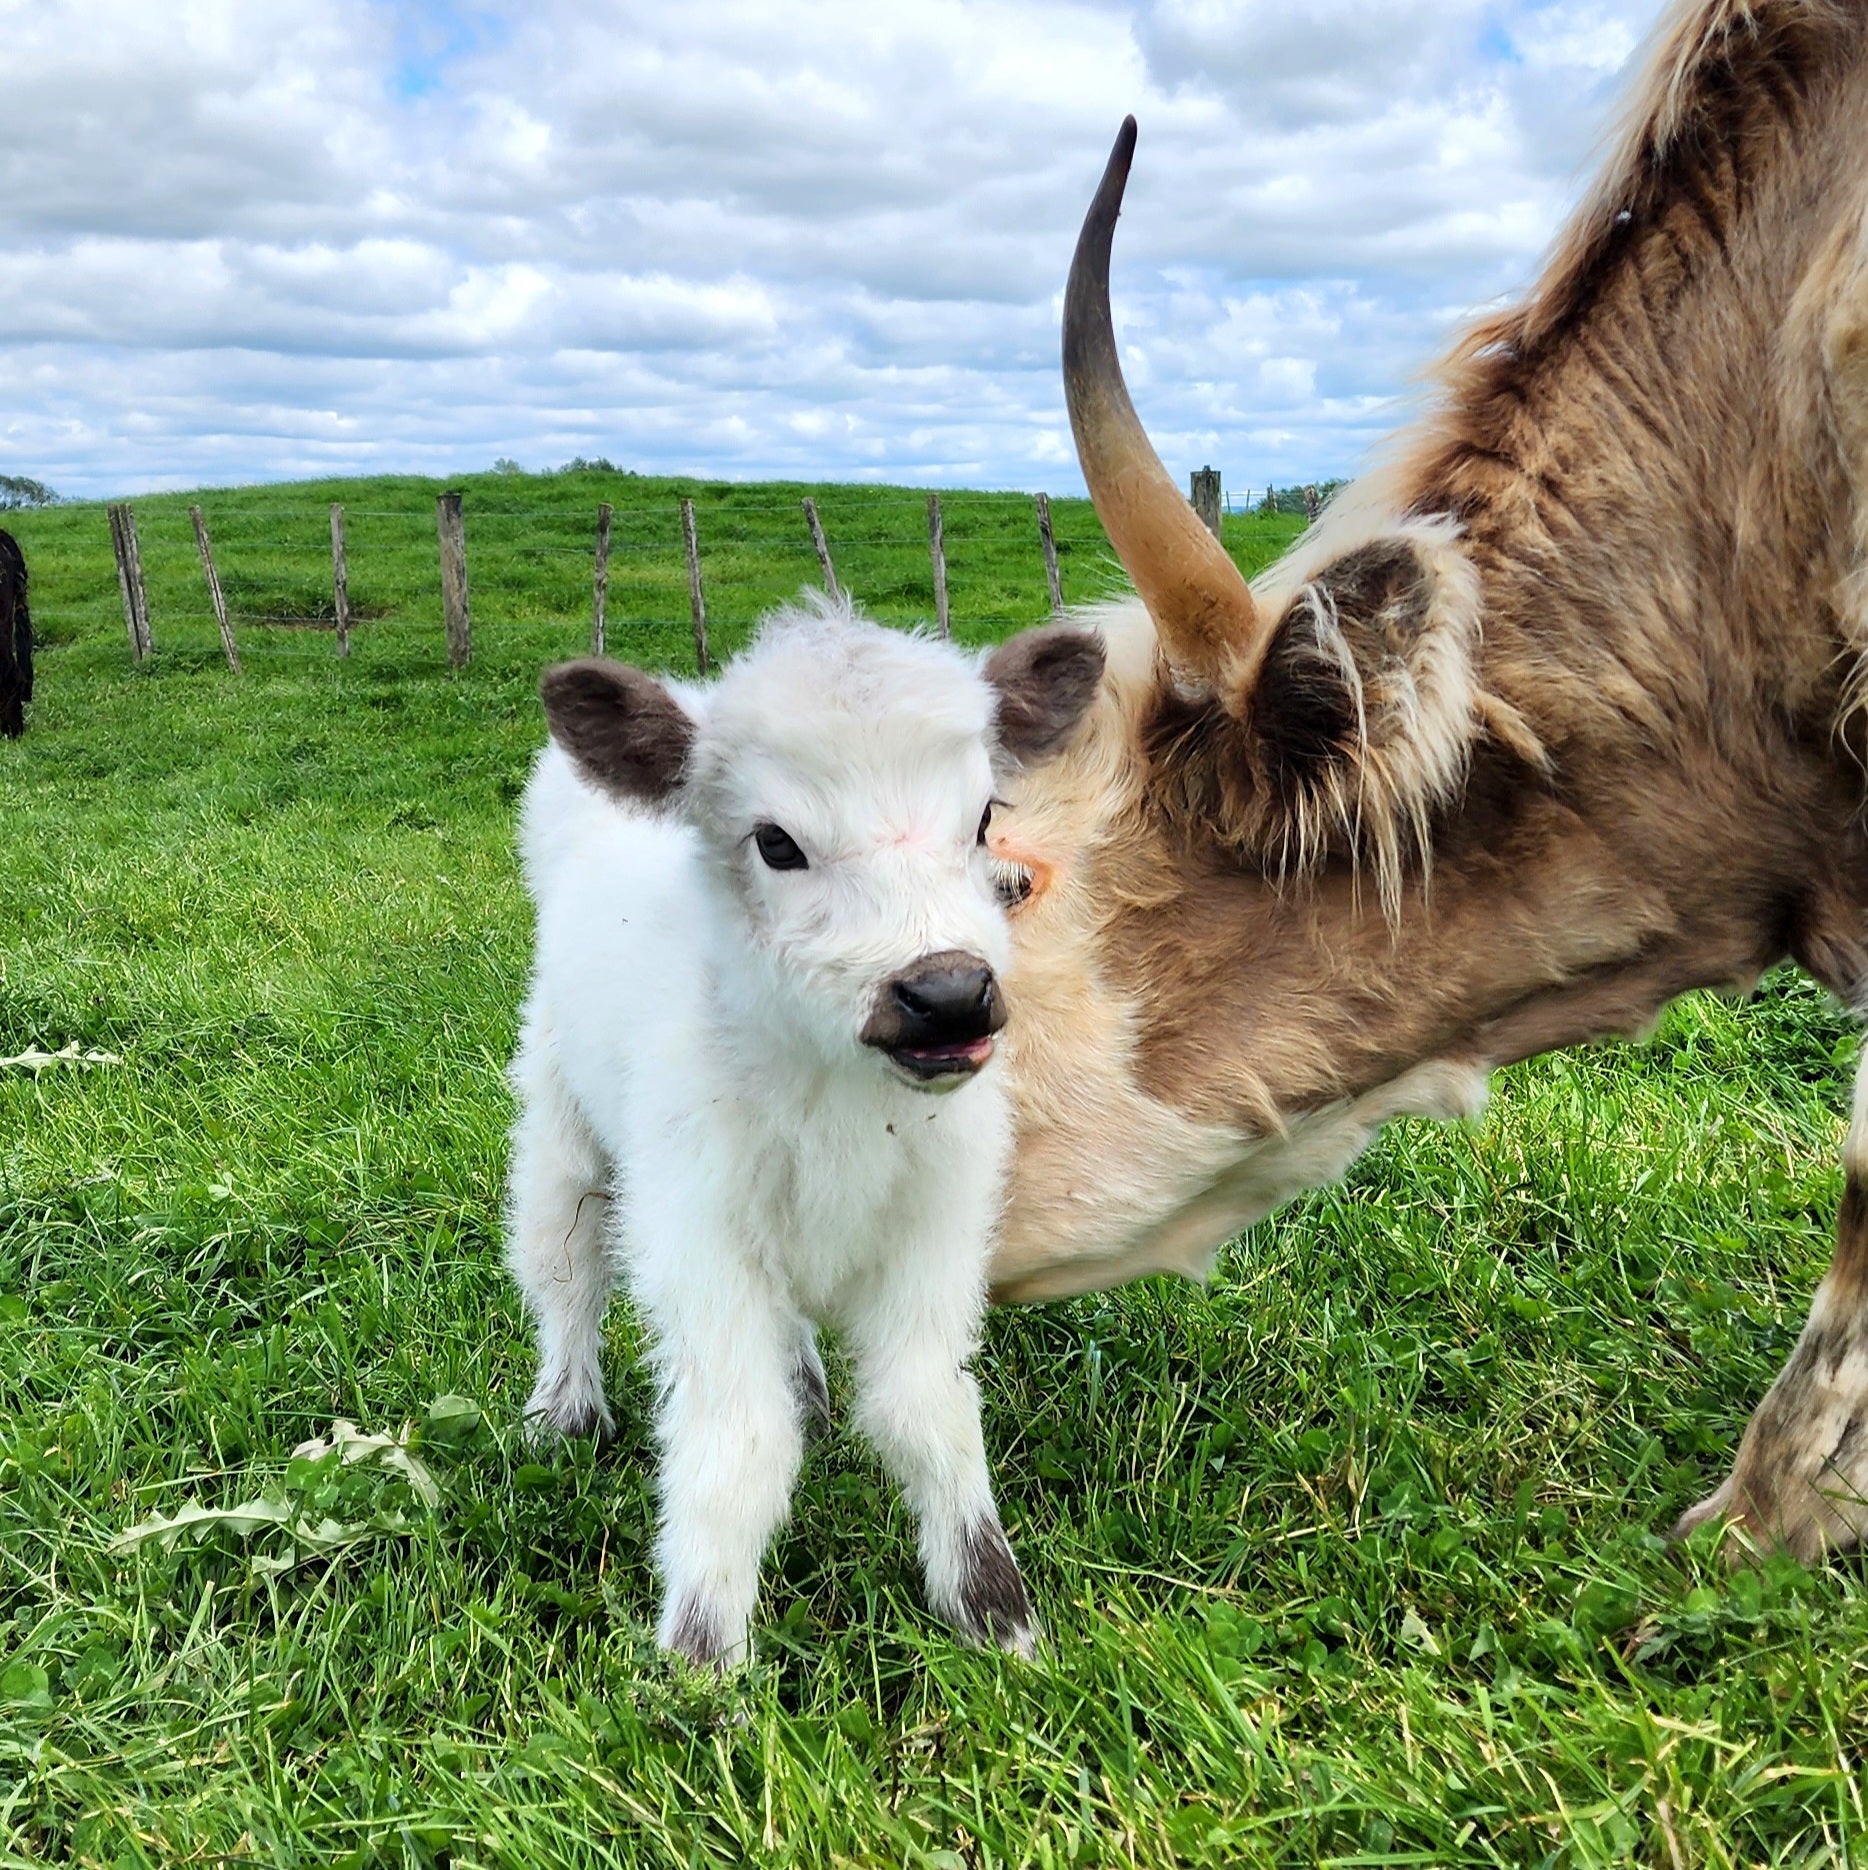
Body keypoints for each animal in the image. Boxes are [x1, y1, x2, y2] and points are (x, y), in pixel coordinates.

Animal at [504, 598, 1099, 1668]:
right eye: (776, 843)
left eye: (985, 819)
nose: (948, 994)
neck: (845, 1103)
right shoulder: (696, 1236)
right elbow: (739, 1440)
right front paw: (701, 1659)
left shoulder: (940, 1223)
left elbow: (927, 1410)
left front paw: (997, 1618)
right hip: (559, 1122)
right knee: (562, 1266)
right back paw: (562, 1412)